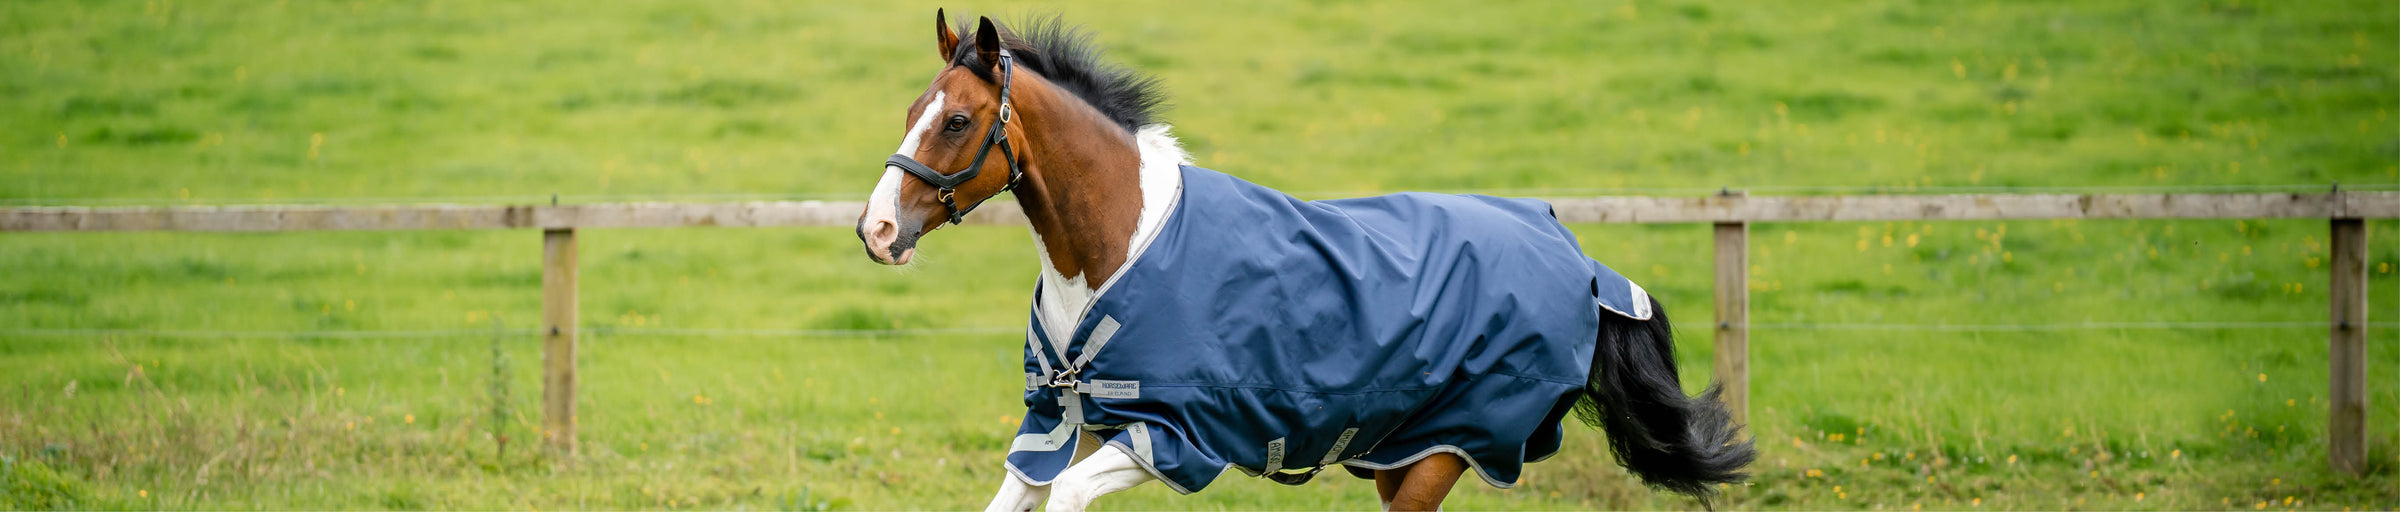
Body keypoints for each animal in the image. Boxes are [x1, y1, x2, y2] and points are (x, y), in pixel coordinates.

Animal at [855, 12, 1755, 512]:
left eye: (958, 121)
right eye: (910, 111)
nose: (876, 230)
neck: (1119, 248)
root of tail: (1584, 262)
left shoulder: (1174, 436)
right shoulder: (1057, 421)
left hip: (1451, 450)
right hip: (1402, 454)